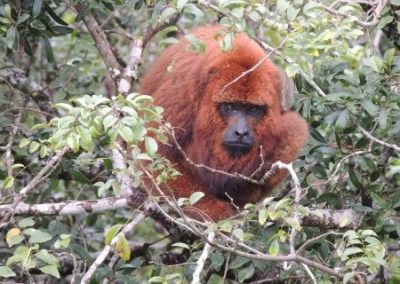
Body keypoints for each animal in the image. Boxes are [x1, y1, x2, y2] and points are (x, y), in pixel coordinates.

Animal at [139, 26, 308, 222]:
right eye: (230, 107)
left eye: (253, 110)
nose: (241, 132)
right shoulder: (182, 88)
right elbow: (157, 153)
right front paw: (213, 209)